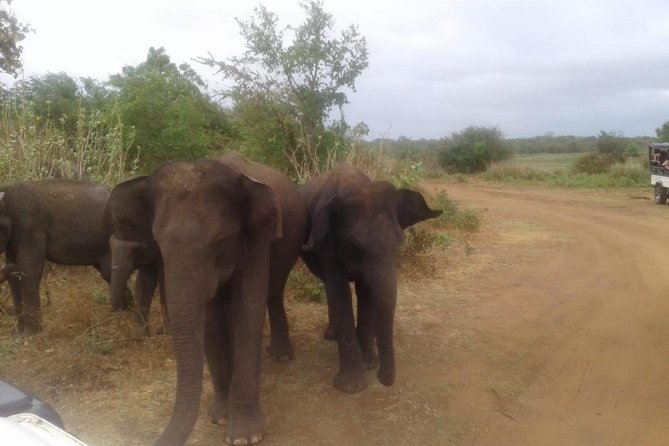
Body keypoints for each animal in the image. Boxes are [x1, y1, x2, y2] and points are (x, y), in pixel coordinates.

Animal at [0, 179, 133, 335]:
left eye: (2, 229)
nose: (9, 267)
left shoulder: (30, 226)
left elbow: (29, 272)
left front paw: (30, 334)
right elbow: (14, 279)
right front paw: (19, 332)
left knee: (111, 272)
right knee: (110, 274)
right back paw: (125, 314)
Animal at [110, 153, 305, 446]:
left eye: (220, 240)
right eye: (157, 241)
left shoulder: (258, 240)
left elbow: (248, 308)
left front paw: (245, 437)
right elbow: (211, 320)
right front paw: (220, 418)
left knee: (273, 293)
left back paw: (280, 357)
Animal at [300, 164, 442, 393]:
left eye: (400, 242)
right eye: (354, 245)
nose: (380, 374)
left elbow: (365, 292)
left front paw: (370, 364)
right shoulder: (326, 243)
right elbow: (339, 290)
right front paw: (352, 387)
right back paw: (332, 336)